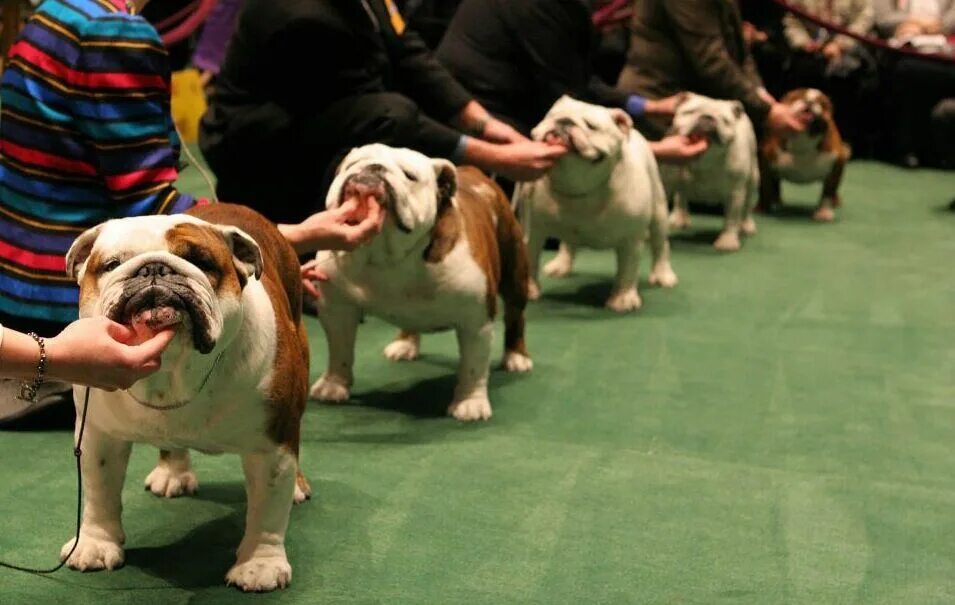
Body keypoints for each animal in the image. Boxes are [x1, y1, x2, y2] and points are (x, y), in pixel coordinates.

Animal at [60, 203, 314, 588]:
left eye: (202, 261)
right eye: (111, 264)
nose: (153, 268)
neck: (173, 370)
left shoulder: (273, 444)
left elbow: (268, 509)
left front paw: (260, 564)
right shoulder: (97, 436)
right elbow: (99, 490)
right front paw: (94, 543)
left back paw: (298, 486)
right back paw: (173, 473)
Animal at [308, 145, 532, 422]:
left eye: (409, 176)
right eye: (352, 164)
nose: (373, 168)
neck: (384, 254)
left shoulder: (476, 320)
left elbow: (473, 366)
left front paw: (470, 402)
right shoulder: (336, 309)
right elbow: (339, 351)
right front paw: (333, 385)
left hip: (515, 272)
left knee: (515, 316)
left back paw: (516, 357)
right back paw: (405, 344)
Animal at [760, 87, 852, 222]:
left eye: (822, 103)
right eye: (797, 97)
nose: (809, 101)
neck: (803, 140)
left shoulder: (837, 163)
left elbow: (828, 191)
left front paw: (824, 212)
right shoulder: (765, 161)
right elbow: (765, 188)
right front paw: (762, 208)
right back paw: (776, 201)